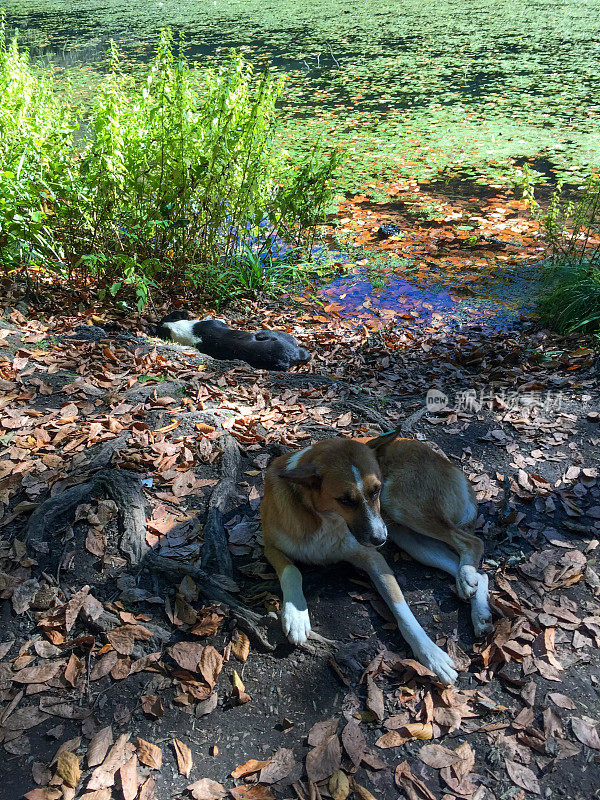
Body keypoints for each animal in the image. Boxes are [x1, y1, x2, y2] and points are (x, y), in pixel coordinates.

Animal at [262, 428, 492, 684]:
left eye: (375, 491)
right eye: (345, 500)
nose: (381, 539)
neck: (325, 519)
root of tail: (448, 463)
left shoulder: (373, 558)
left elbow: (403, 611)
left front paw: (432, 655)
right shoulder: (269, 546)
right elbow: (292, 571)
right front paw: (296, 616)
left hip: (401, 506)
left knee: (473, 542)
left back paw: (467, 577)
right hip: (411, 539)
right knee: (478, 569)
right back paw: (477, 602)